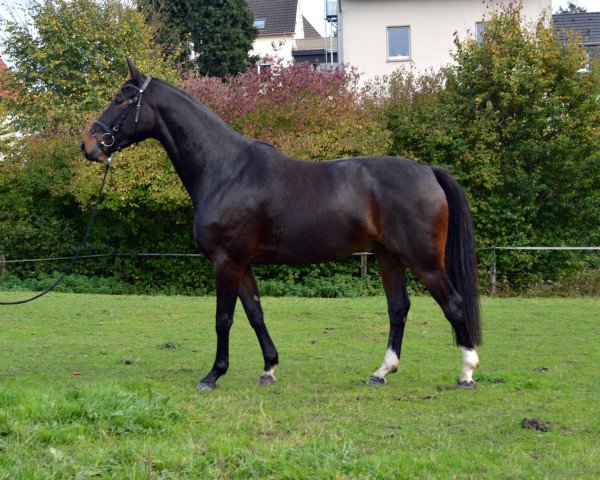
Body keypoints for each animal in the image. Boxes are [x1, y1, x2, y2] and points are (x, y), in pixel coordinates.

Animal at [81, 60, 482, 390]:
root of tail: (428, 171)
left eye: (120, 98)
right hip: (389, 258)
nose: (89, 144)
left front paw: (213, 375)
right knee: (398, 309)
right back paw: (381, 372)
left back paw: (466, 373)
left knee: (454, 304)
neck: (226, 171)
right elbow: (255, 314)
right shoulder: (241, 264)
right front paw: (268, 368)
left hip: (423, 260)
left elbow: (224, 318)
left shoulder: (225, 262)